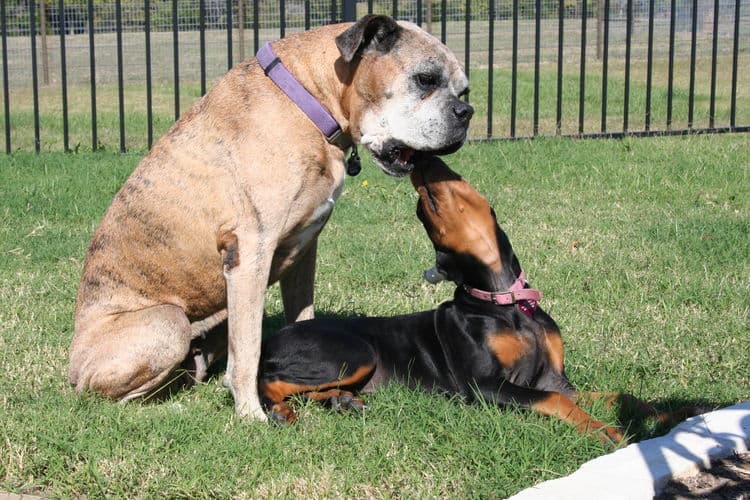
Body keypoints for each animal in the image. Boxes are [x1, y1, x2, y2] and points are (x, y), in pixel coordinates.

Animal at [69, 14, 470, 418]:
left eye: (464, 91)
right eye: (425, 79)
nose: (465, 113)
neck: (309, 102)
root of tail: (73, 368)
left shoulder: (304, 253)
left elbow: (303, 317)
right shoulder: (250, 254)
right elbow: (248, 352)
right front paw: (251, 416)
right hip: (167, 323)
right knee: (105, 395)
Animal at [260, 158, 700, 444]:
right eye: (423, 213)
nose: (422, 158)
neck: (506, 300)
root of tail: (272, 339)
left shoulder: (555, 377)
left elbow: (622, 396)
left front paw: (676, 413)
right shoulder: (485, 385)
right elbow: (557, 401)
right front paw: (605, 430)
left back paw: (344, 402)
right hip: (356, 352)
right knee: (266, 380)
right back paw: (279, 411)